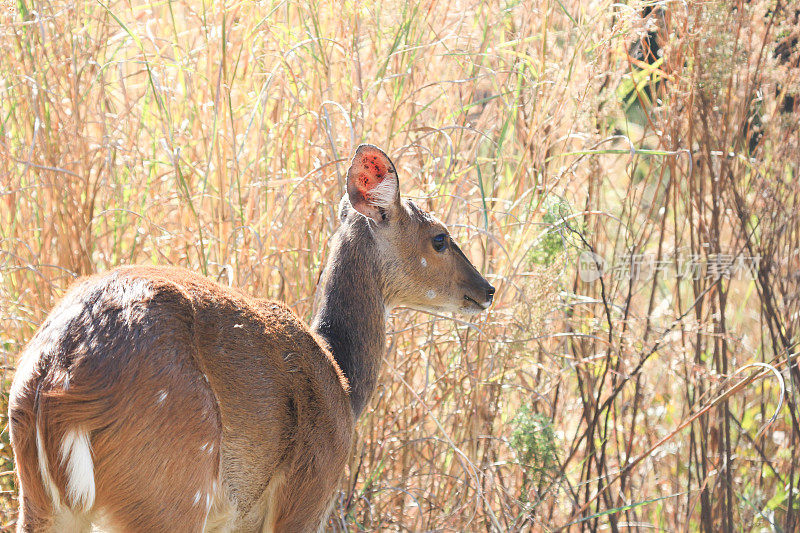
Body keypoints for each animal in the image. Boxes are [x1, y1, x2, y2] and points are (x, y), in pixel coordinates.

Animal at [7, 143, 494, 528]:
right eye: (440, 238)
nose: (487, 289)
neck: (344, 384)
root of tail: (54, 388)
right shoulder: (309, 492)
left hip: (41, 502)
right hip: (171, 488)